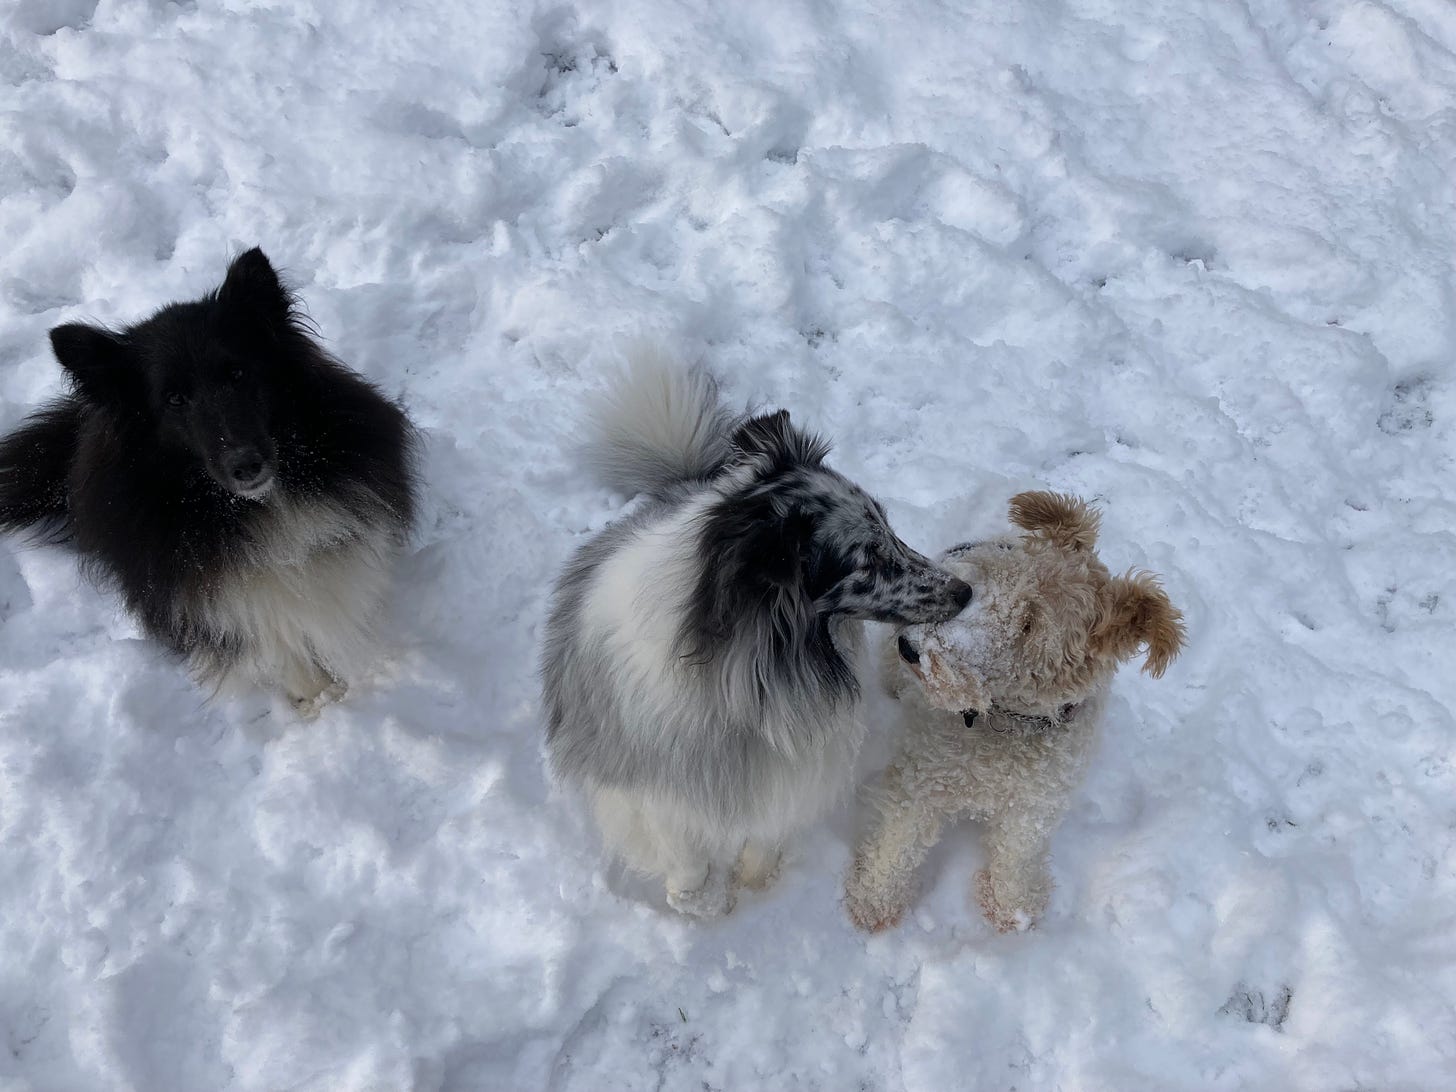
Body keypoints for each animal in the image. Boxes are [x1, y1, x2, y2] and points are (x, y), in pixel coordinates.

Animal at [1, 247, 422, 710]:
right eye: (174, 398)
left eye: (237, 374)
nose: (246, 465)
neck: (254, 507)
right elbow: (275, 644)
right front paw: (318, 701)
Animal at [844, 495, 1182, 931]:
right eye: (989, 582)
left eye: (1030, 624)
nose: (912, 648)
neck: (1005, 723)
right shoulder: (921, 782)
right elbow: (898, 843)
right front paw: (874, 901)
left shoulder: (1036, 804)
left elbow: (1019, 853)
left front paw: (1014, 909)